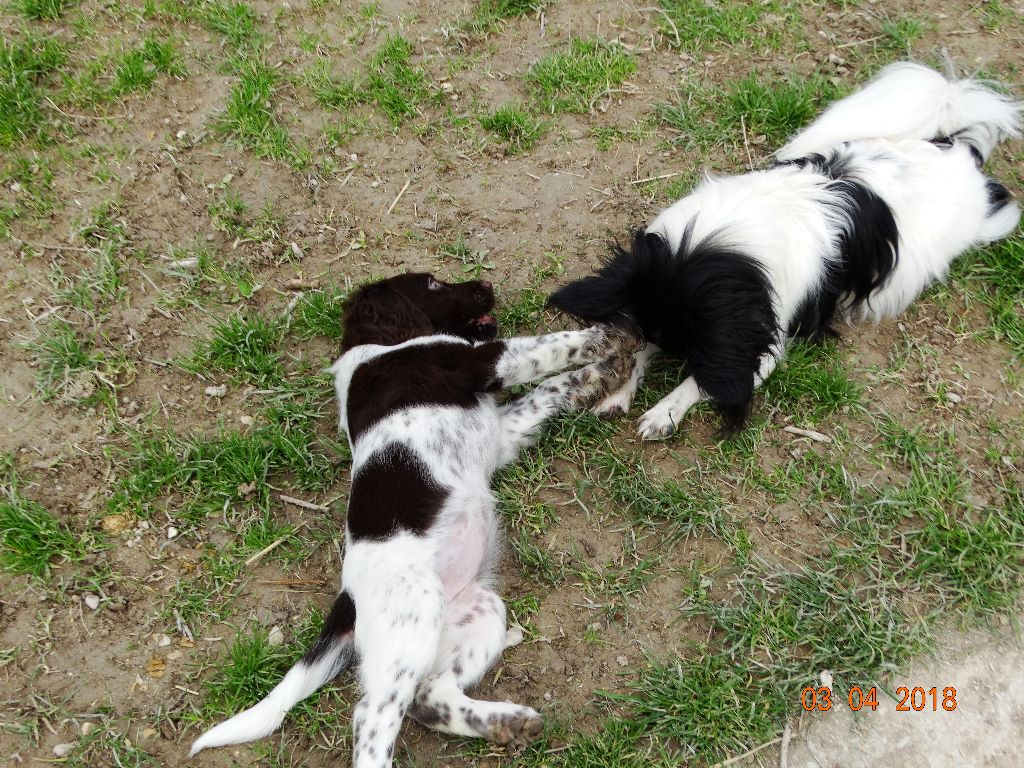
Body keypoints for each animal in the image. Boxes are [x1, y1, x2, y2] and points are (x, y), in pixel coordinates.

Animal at [190, 274, 638, 765]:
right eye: (433, 284)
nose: (486, 282)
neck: (379, 344)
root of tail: (347, 600)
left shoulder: (501, 433)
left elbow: (549, 391)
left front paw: (602, 374)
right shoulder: (479, 360)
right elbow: (553, 346)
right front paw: (613, 338)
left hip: (478, 612)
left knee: (428, 697)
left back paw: (505, 724)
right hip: (413, 620)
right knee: (372, 717)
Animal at [548, 63, 1019, 438]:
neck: (726, 239)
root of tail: (959, 149)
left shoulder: (763, 340)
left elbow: (703, 379)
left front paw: (665, 411)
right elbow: (638, 349)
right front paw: (620, 388)